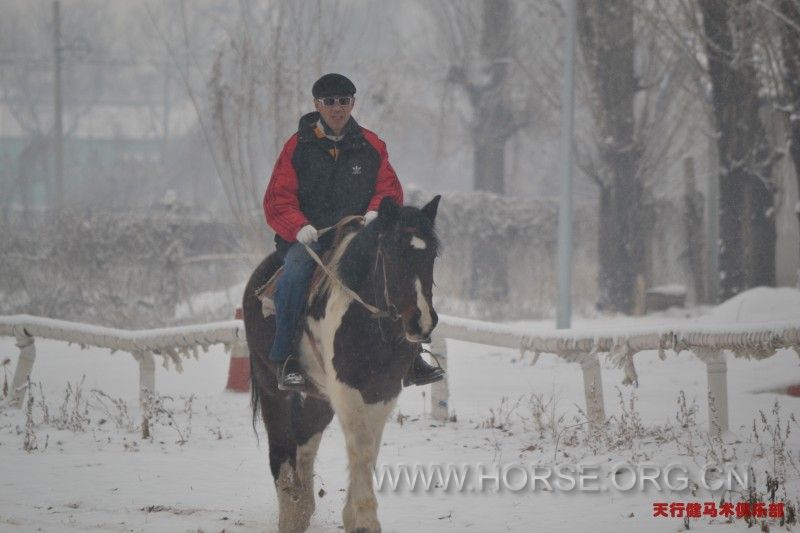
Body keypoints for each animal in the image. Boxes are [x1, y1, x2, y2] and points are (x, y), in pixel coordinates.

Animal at [244, 195, 444, 532]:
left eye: (432, 254)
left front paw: (354, 517)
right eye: (393, 253)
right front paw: (364, 519)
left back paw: (303, 508)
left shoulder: (383, 391)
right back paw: (290, 512)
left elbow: (369, 448)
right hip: (274, 389)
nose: (422, 322)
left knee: (305, 440)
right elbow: (360, 446)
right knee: (281, 449)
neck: (369, 321)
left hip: (320, 396)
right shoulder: (346, 389)